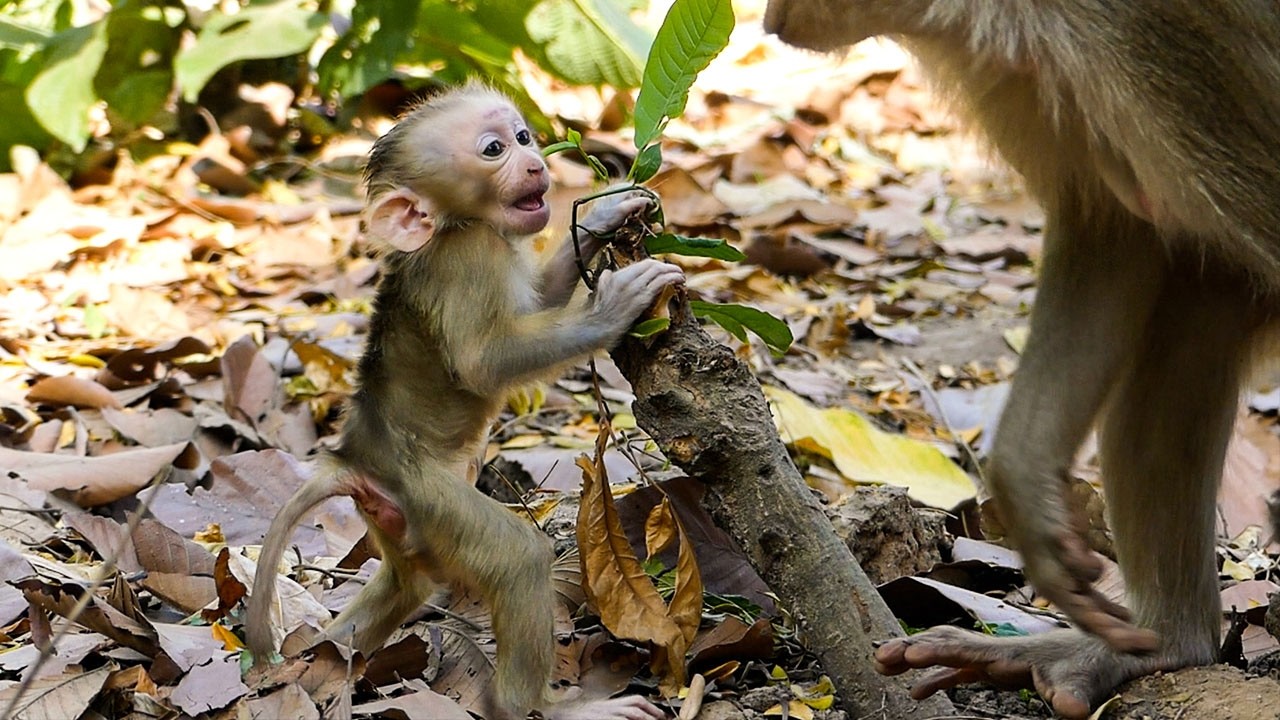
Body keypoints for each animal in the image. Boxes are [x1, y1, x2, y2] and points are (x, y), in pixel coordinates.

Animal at [245, 83, 680, 720]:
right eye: (494, 149)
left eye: (523, 137)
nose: (535, 163)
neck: (458, 223)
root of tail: (354, 460)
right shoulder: (468, 255)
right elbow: (484, 361)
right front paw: (611, 307)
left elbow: (537, 301)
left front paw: (605, 214)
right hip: (429, 497)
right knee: (519, 559)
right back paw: (539, 707)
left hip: (405, 525)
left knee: (408, 586)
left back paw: (321, 658)